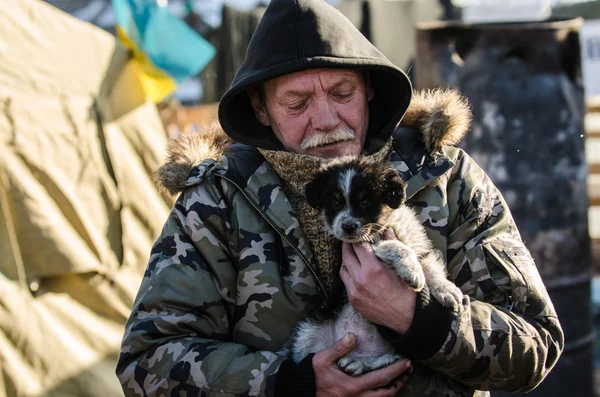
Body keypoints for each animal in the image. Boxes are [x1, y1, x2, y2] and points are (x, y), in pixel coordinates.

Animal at [290, 155, 464, 374]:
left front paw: (447, 290)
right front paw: (413, 272)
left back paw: (360, 363)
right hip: (310, 328)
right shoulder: (365, 247)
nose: (347, 227)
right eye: (335, 203)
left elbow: (430, 267)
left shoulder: (419, 247)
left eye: (365, 202)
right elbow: (399, 247)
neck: (384, 226)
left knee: (382, 362)